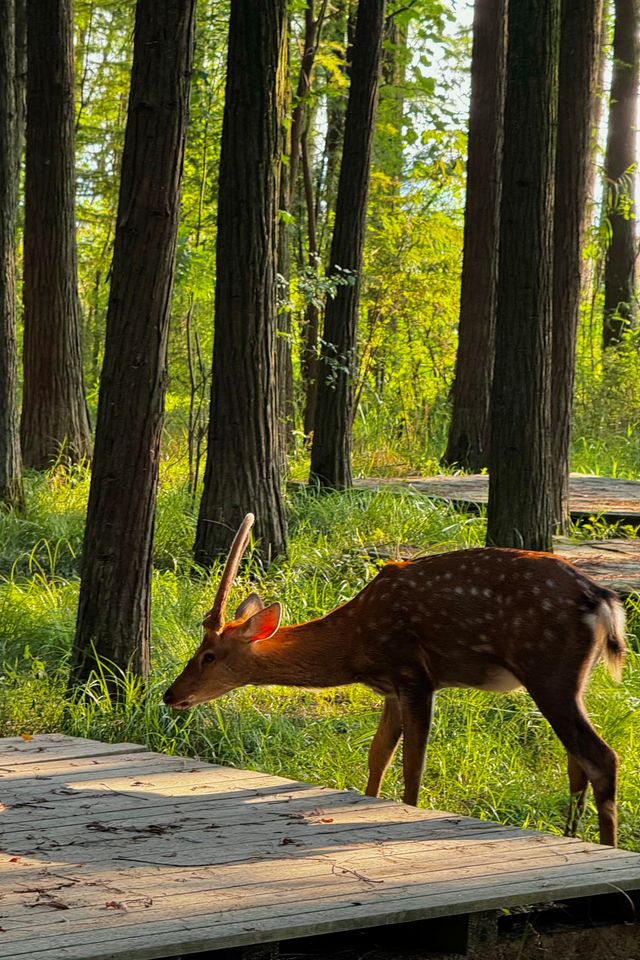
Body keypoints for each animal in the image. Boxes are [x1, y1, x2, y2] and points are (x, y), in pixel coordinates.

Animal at [162, 512, 628, 844]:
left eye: (208, 656)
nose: (170, 695)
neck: (356, 645)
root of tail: (603, 599)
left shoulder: (414, 674)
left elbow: (412, 765)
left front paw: (409, 809)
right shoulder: (390, 688)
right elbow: (378, 754)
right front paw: (371, 799)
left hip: (547, 668)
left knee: (601, 756)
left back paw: (605, 843)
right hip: (572, 679)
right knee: (576, 759)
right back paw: (573, 835)